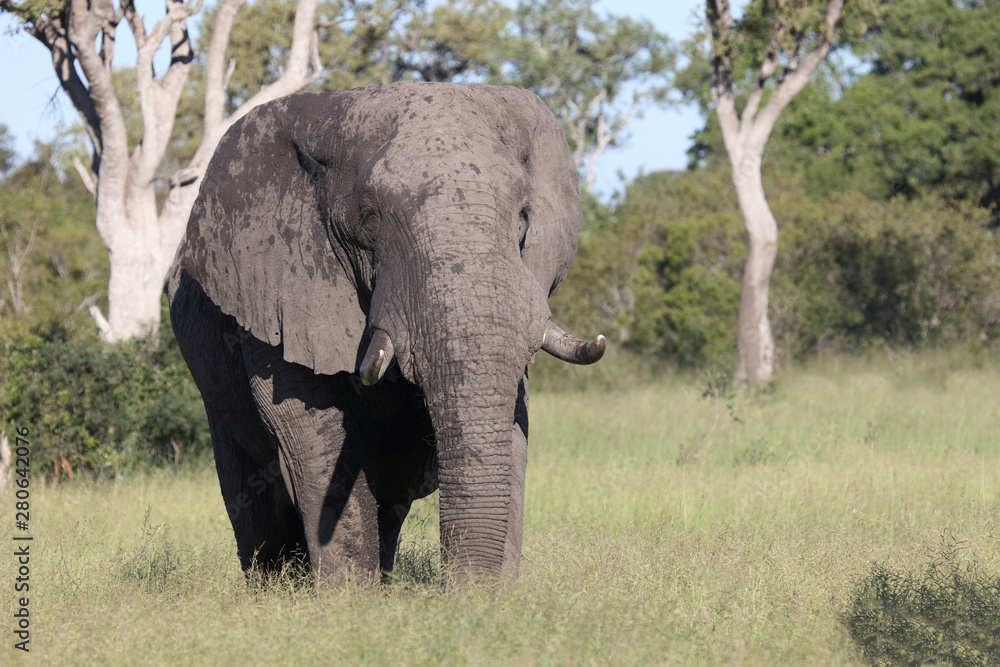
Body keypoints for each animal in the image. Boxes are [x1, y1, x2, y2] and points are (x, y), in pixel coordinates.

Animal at [168, 81, 605, 585]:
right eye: (369, 217)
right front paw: (351, 598)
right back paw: (276, 586)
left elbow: (513, 421)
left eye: (522, 217)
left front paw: (493, 594)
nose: (463, 592)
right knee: (255, 503)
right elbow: (311, 428)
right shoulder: (272, 294)